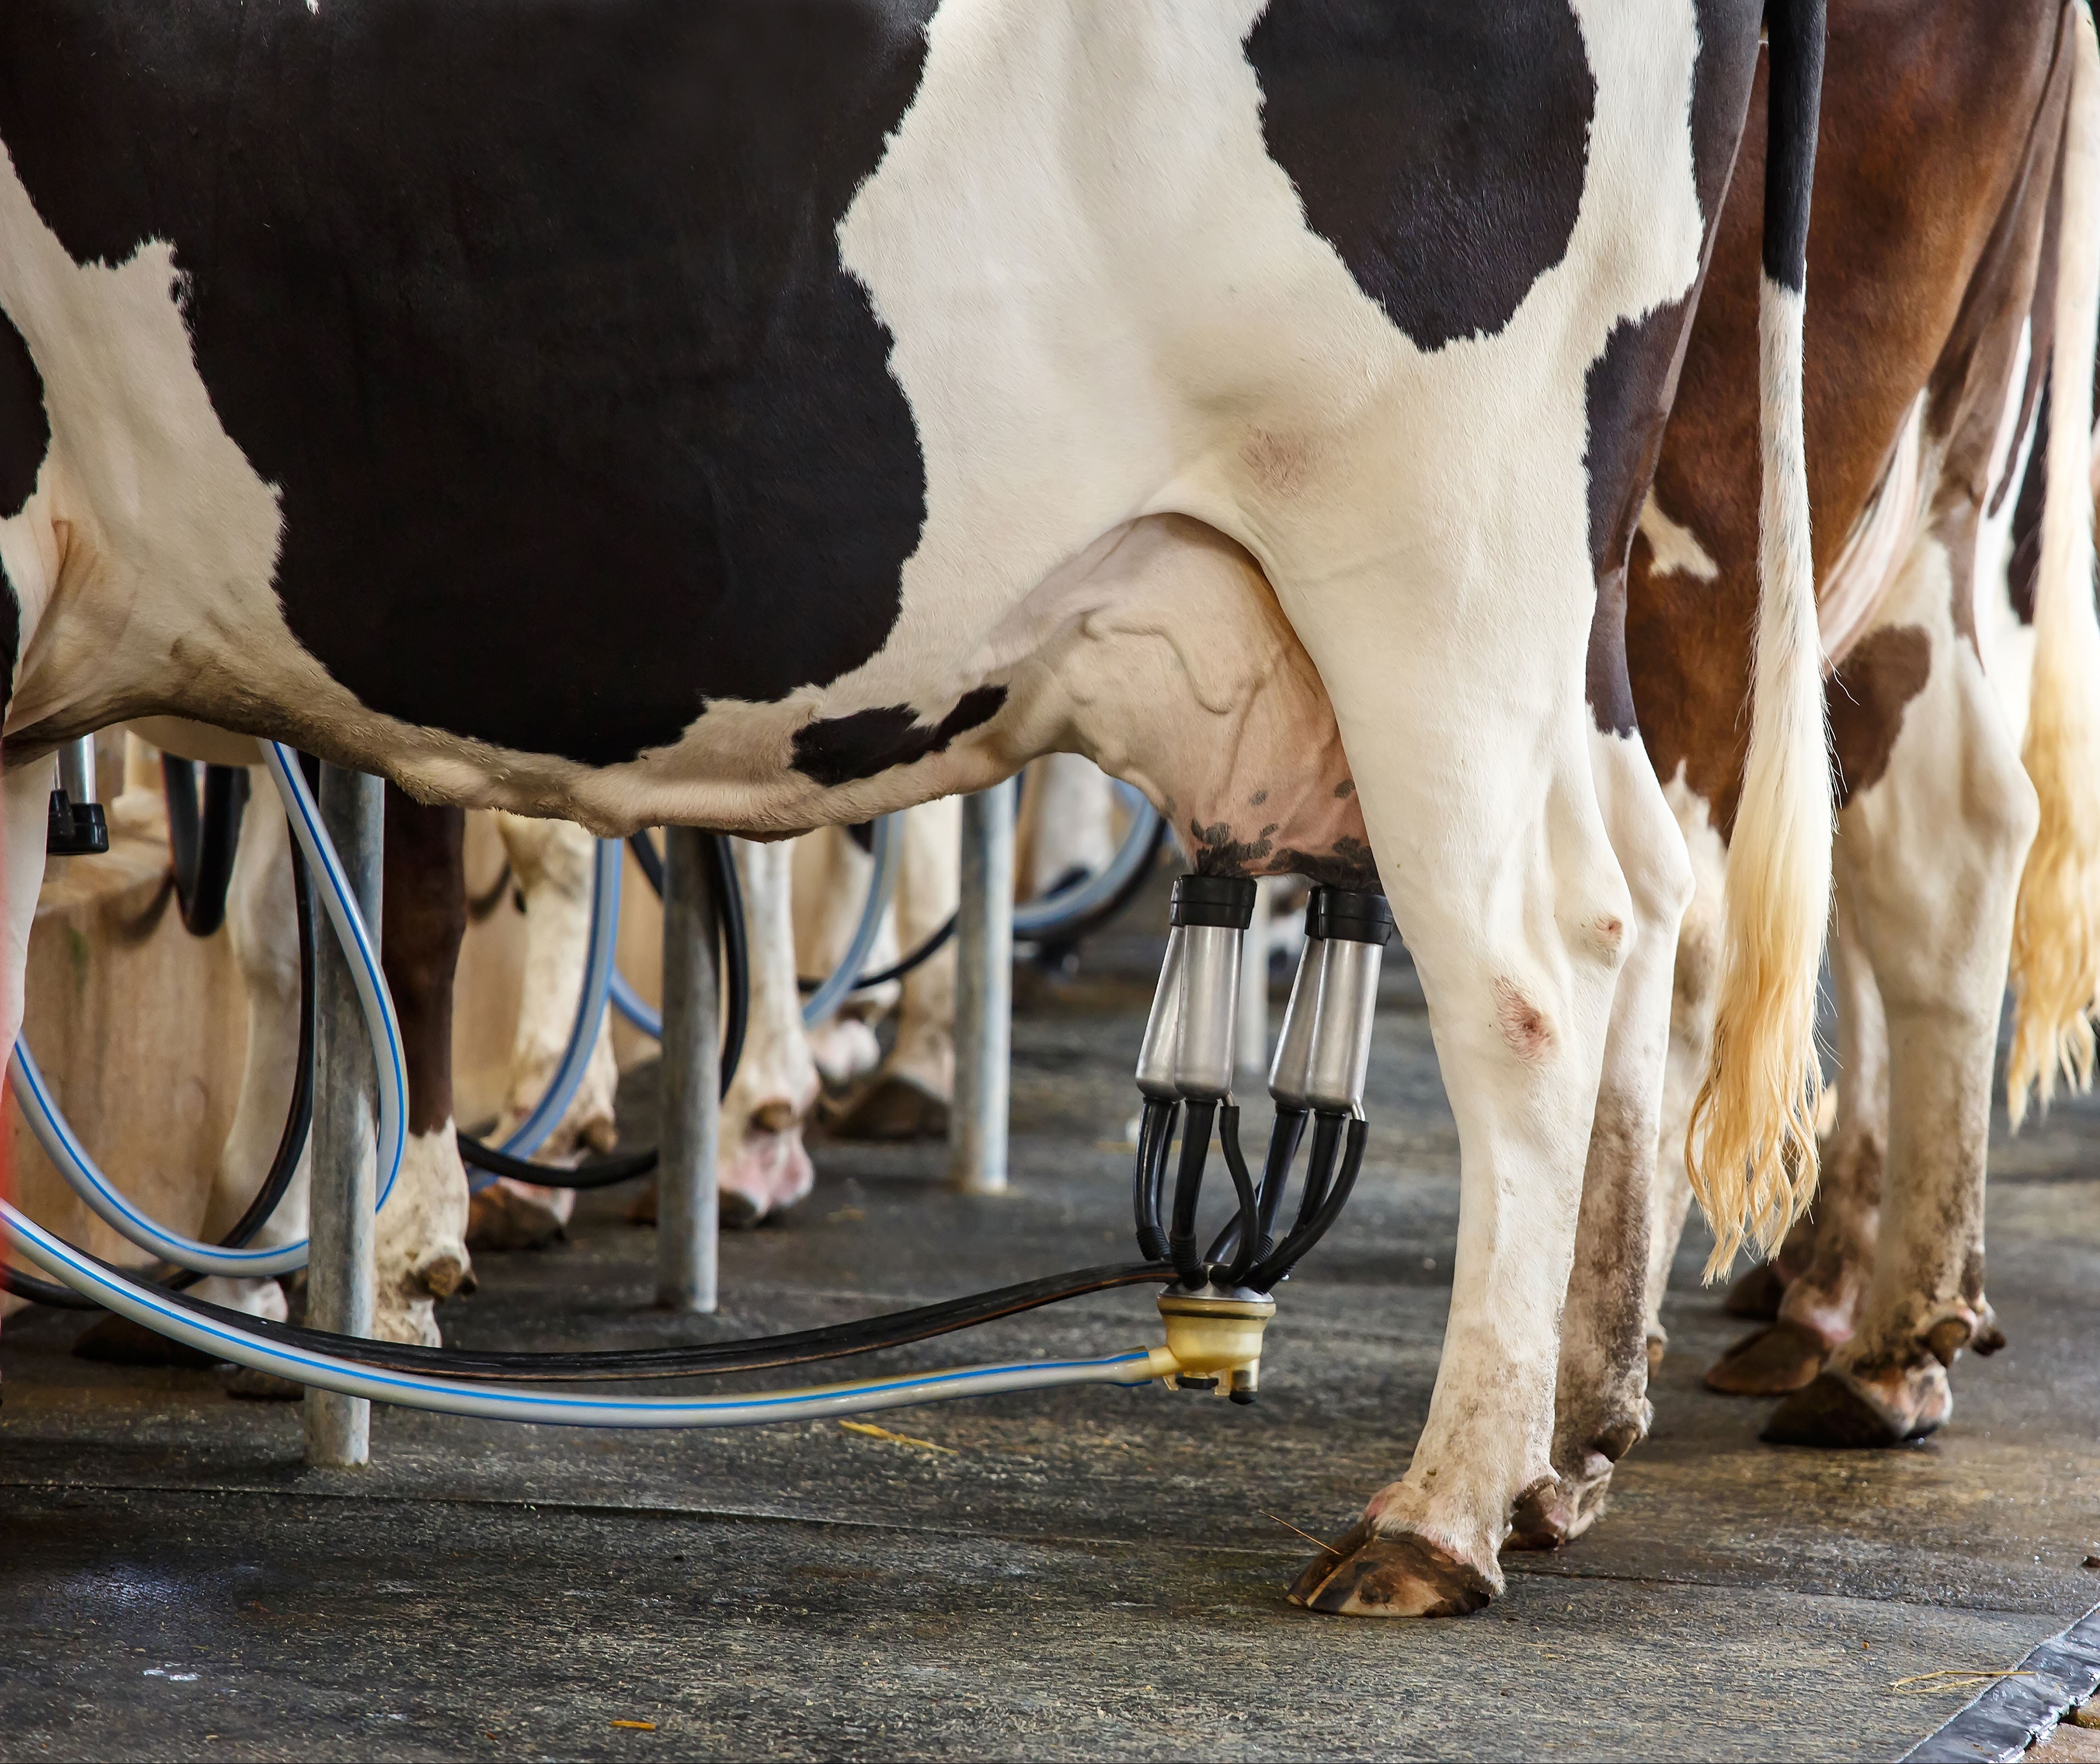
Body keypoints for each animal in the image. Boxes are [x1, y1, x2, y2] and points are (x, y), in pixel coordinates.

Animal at [0, 0, 1822, 1621]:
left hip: (1434, 554)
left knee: (1534, 971)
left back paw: (1438, 1516)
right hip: (1560, 613)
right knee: (1651, 893)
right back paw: (1567, 1444)